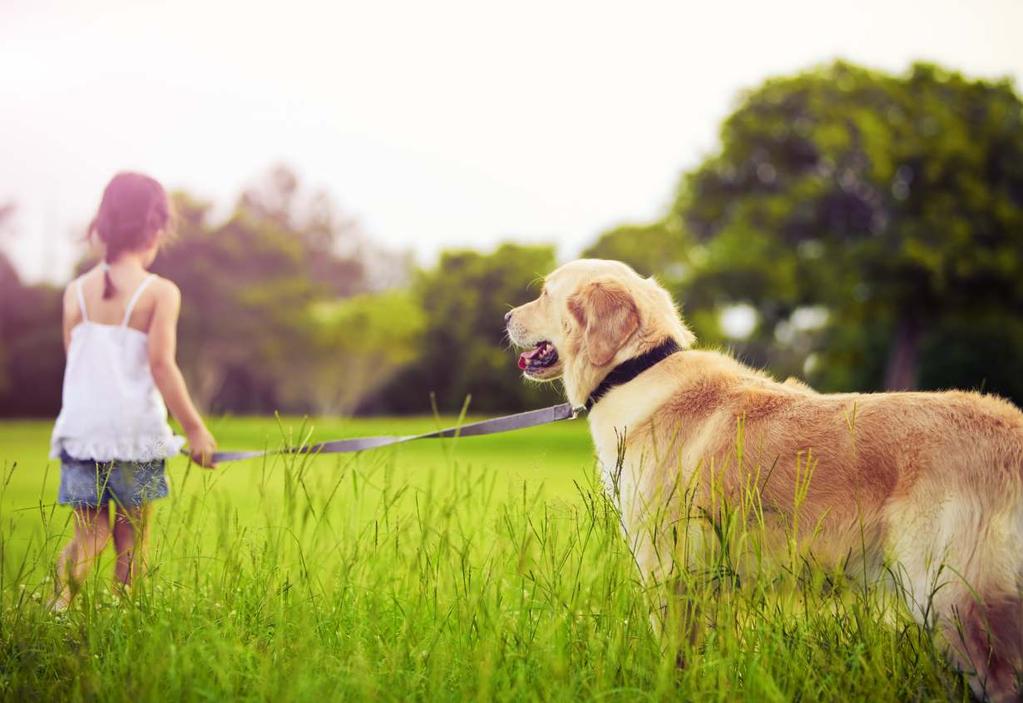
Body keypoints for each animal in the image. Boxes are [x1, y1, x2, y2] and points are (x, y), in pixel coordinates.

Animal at [503, 259, 1023, 703]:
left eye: (545, 293)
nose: (506, 315)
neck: (634, 370)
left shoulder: (665, 568)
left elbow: (672, 656)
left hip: (953, 599)